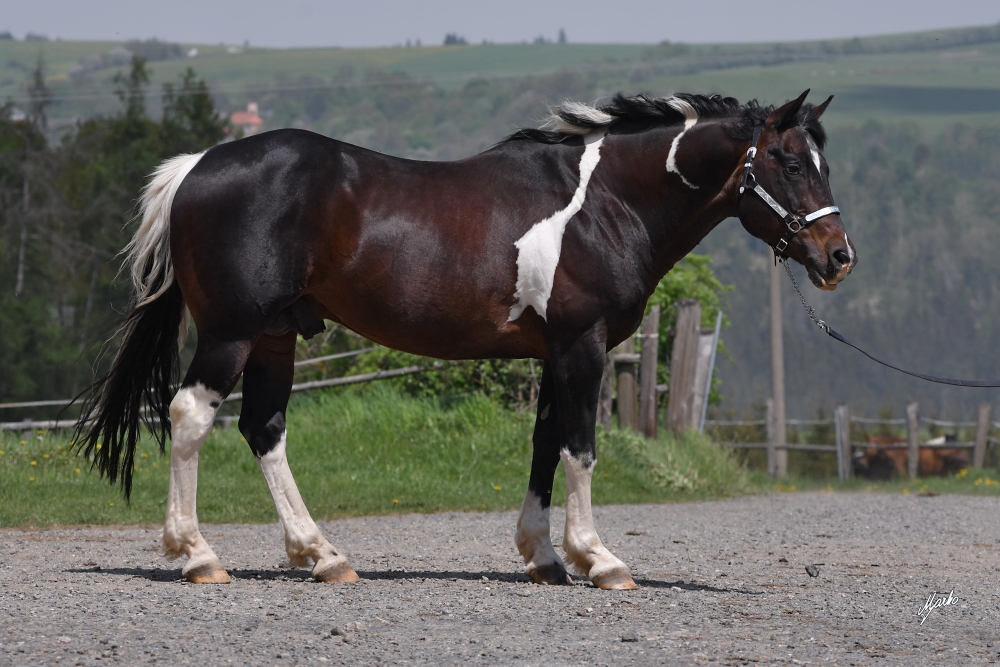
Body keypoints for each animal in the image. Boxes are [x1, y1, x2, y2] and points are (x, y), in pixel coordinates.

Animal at [74, 87, 856, 588]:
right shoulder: (583, 345)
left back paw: (322, 555)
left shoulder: (553, 350)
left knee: (264, 429)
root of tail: (196, 167)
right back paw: (198, 556)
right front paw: (600, 560)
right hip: (233, 332)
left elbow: (545, 445)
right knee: (189, 415)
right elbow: (581, 448)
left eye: (824, 163)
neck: (605, 201)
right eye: (789, 162)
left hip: (274, 335)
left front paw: (546, 558)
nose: (838, 257)